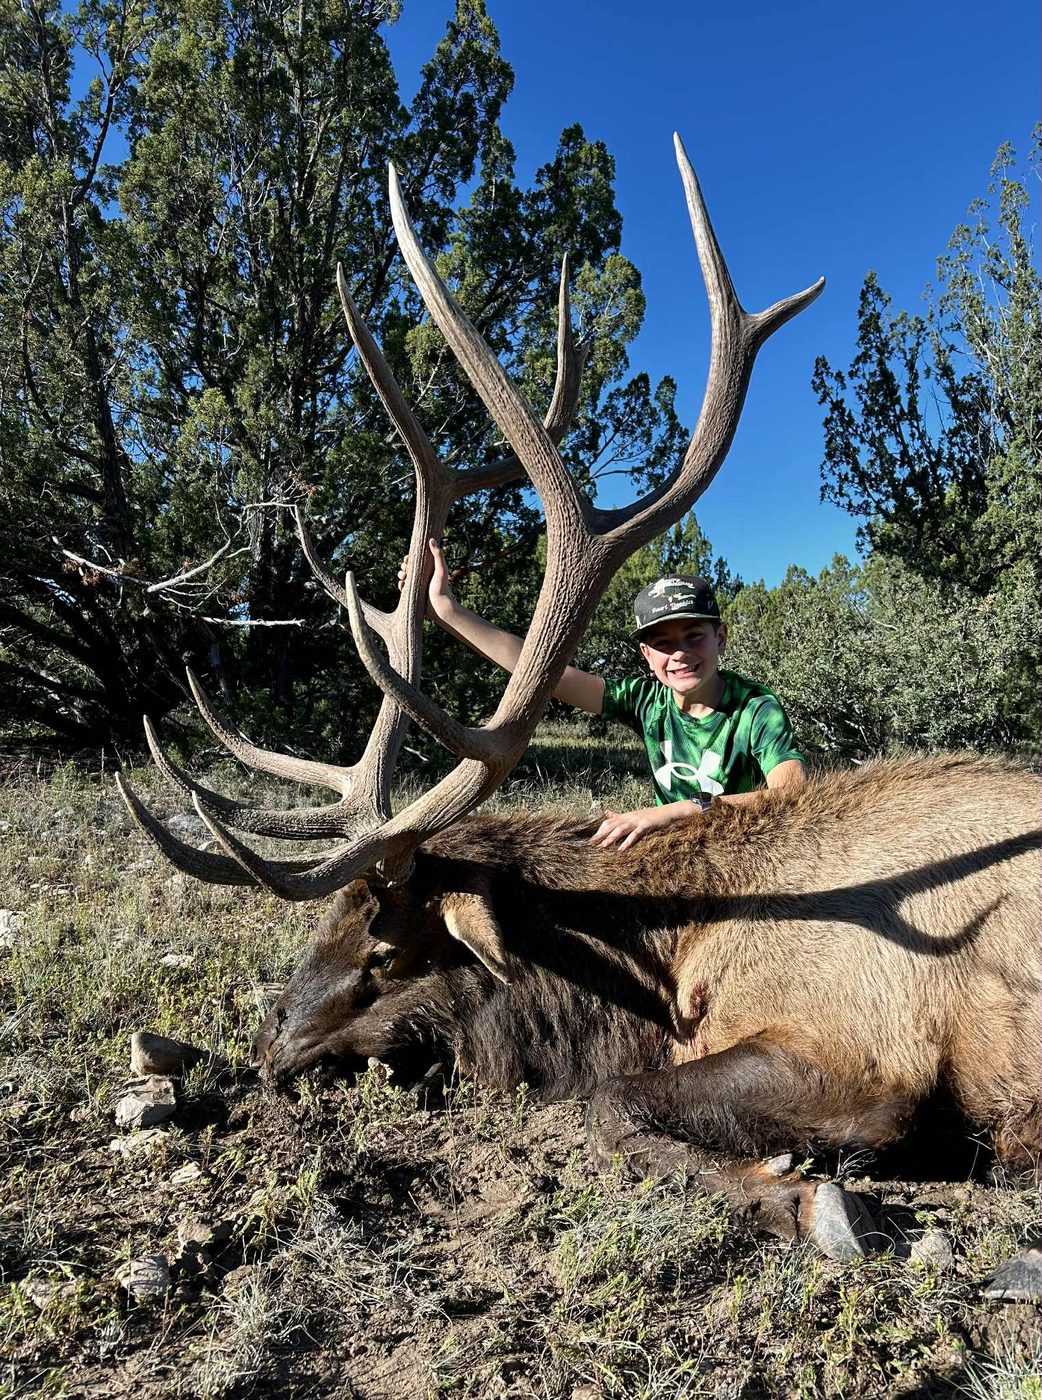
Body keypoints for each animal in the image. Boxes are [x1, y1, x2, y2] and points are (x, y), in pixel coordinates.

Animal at [117, 137, 1042, 1277]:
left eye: (384, 952)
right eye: (327, 929)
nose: (268, 1051)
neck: (666, 971)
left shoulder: (866, 1053)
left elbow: (609, 1106)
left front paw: (806, 1200)